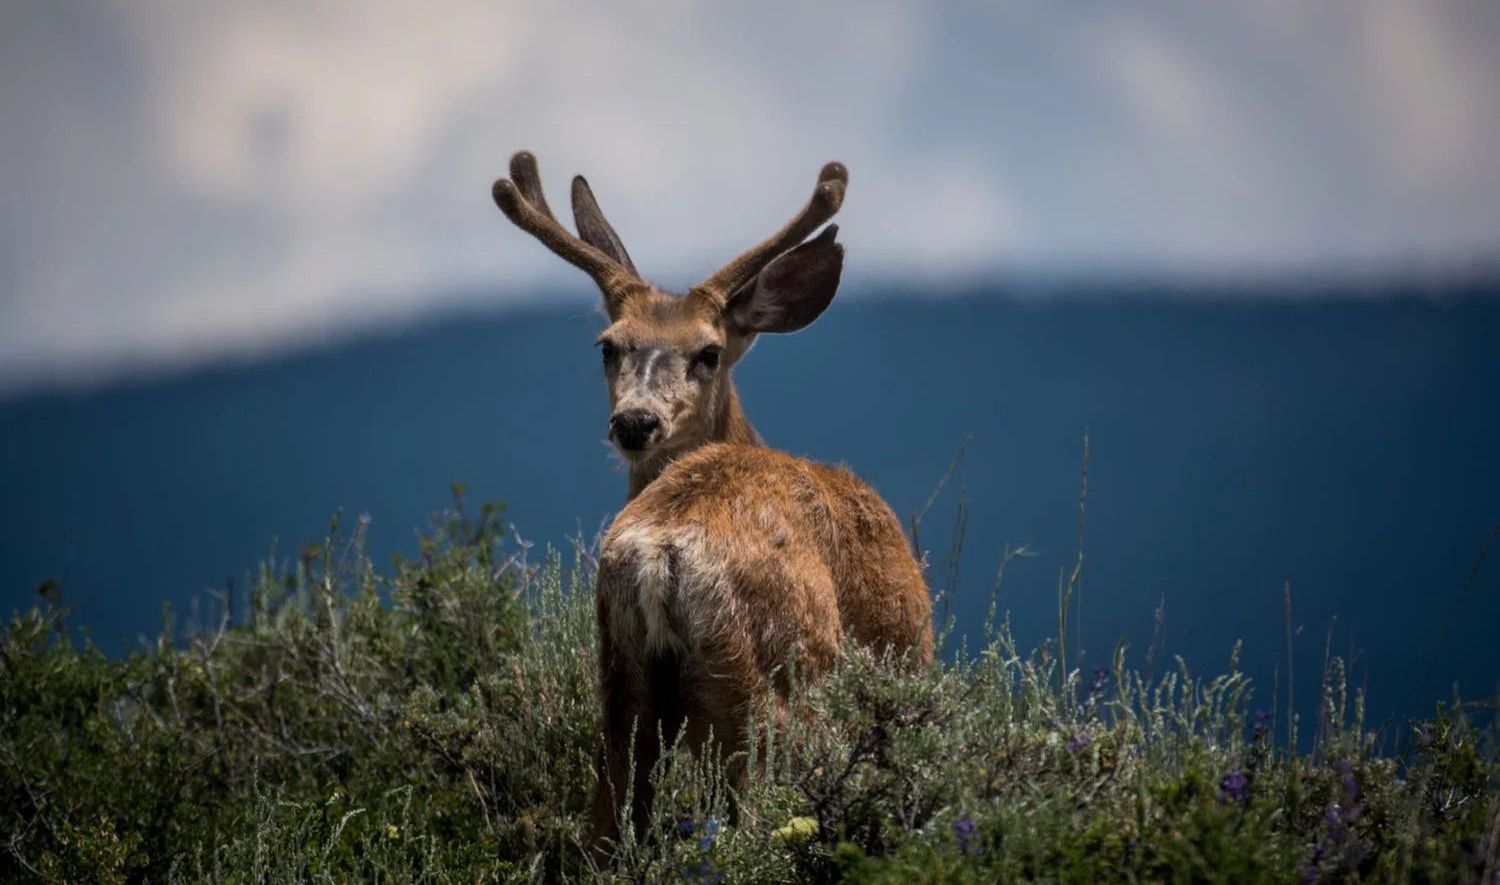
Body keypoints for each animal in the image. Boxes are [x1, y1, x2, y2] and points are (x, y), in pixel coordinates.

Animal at [490, 151, 934, 847]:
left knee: (608, 828)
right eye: (609, 346)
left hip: (621, 683)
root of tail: (660, 554)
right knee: (755, 821)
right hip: (772, 684)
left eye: (709, 351)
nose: (635, 422)